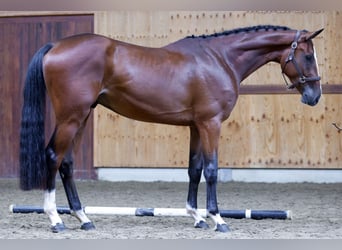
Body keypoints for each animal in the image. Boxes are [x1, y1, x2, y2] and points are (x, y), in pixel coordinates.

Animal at [19, 25, 324, 232]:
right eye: (308, 56)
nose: (314, 96)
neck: (219, 59)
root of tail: (55, 45)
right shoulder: (211, 124)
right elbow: (211, 170)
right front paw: (217, 218)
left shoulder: (196, 126)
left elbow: (195, 169)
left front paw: (197, 217)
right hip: (71, 117)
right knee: (53, 156)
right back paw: (55, 218)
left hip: (81, 117)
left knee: (67, 163)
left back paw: (83, 218)